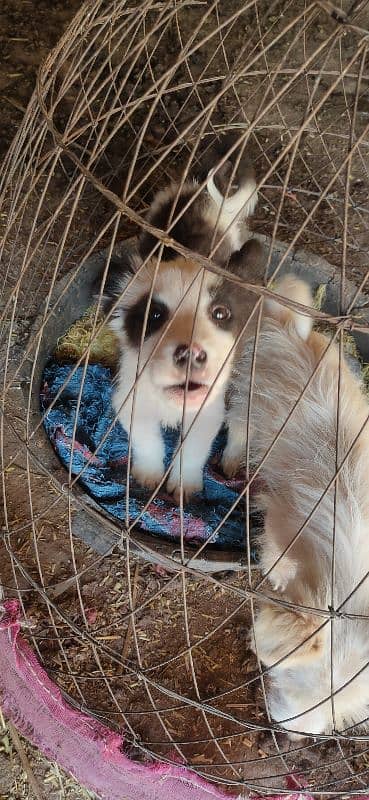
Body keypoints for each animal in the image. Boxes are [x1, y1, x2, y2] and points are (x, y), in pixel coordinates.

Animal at [100, 144, 256, 500]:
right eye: (154, 315)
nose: (191, 354)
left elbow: (194, 452)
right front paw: (149, 476)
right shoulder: (131, 402)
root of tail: (201, 195)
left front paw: (184, 485)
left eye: (220, 314)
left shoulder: (208, 414)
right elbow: (149, 443)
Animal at [223, 280, 368, 736]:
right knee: (234, 431)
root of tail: (289, 327)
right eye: (289, 676)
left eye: (338, 714)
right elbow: (274, 559)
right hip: (245, 403)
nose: (287, 730)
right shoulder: (278, 526)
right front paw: (276, 578)